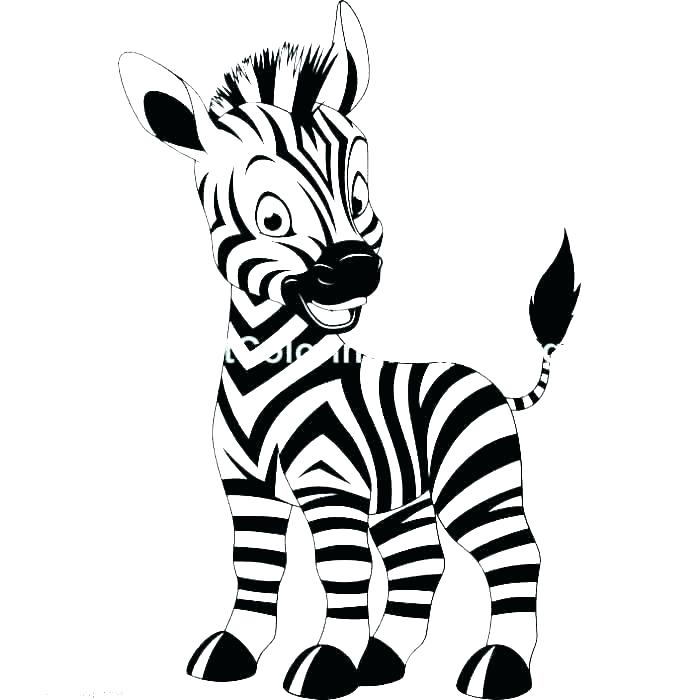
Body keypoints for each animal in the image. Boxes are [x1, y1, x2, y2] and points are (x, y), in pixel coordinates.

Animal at [119, 3, 580, 699]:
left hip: (476, 481)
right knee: (421, 563)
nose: (358, 269)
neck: (262, 366)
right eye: (271, 218)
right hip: (404, 499)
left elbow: (342, 577)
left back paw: (498, 666)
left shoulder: (331, 487)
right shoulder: (247, 490)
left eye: (359, 194)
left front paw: (328, 664)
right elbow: (257, 573)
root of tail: (493, 384)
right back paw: (384, 661)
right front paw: (235, 649)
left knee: (515, 553)